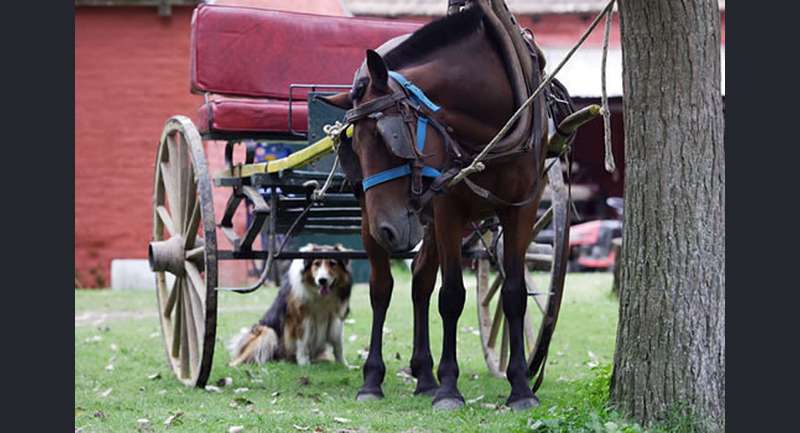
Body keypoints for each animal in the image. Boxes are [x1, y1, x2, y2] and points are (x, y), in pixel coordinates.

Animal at [322, 7, 548, 412]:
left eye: (388, 138)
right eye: (353, 148)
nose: (387, 231)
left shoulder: (523, 206)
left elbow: (513, 293)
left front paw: (521, 387)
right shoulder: (447, 208)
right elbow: (452, 296)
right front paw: (449, 389)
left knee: (420, 280)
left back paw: (424, 375)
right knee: (382, 287)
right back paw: (374, 379)